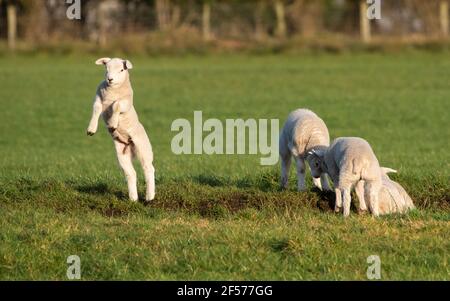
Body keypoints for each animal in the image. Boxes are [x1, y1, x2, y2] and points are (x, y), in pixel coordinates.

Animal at [87, 56, 156, 202]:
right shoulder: (98, 98)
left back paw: (149, 196)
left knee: (148, 168)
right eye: (106, 68)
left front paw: (113, 123)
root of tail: (130, 144)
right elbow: (96, 109)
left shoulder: (126, 103)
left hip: (144, 147)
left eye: (122, 70)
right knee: (131, 173)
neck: (112, 92)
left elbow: (116, 105)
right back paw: (133, 198)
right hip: (122, 153)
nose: (110, 79)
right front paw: (91, 129)